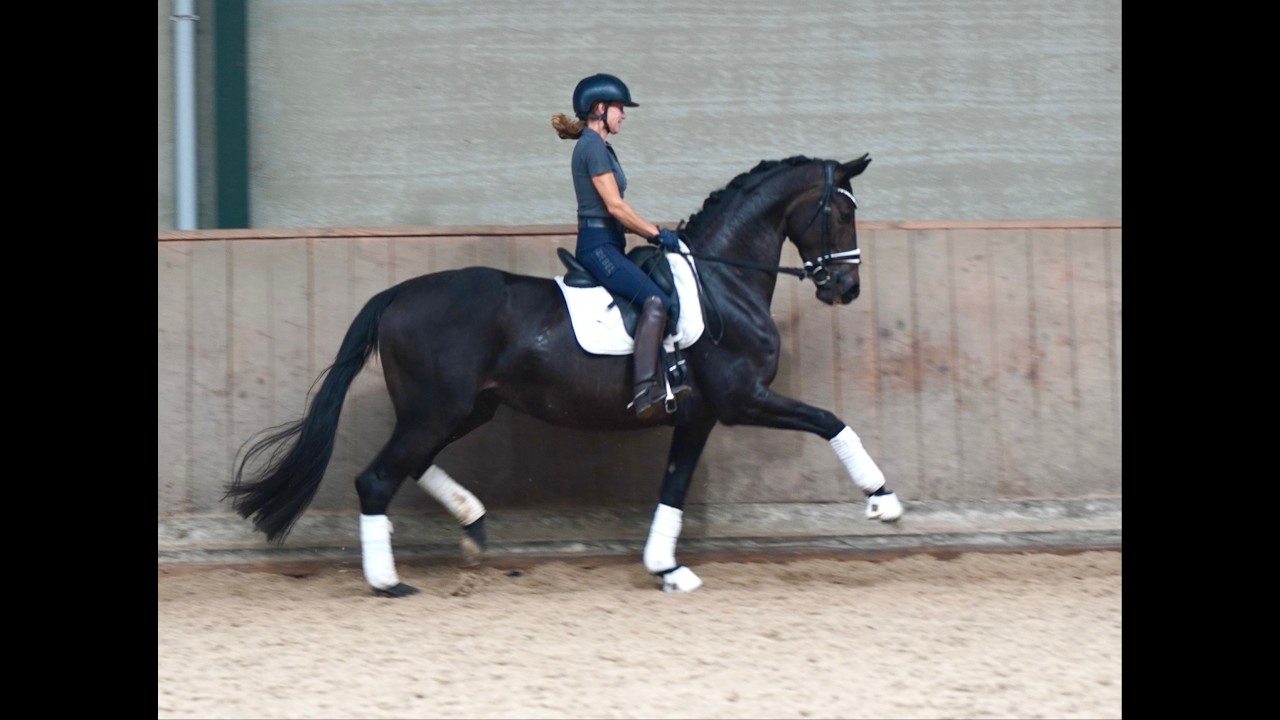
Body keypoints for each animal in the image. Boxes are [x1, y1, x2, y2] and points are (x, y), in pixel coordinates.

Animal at [225, 153, 903, 597]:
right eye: (841, 212)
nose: (846, 287)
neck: (721, 282)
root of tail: (396, 294)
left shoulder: (700, 414)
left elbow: (675, 487)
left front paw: (667, 568)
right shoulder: (743, 399)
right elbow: (831, 421)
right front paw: (883, 500)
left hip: (464, 409)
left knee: (410, 466)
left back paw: (472, 522)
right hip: (437, 410)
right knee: (377, 477)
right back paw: (389, 581)